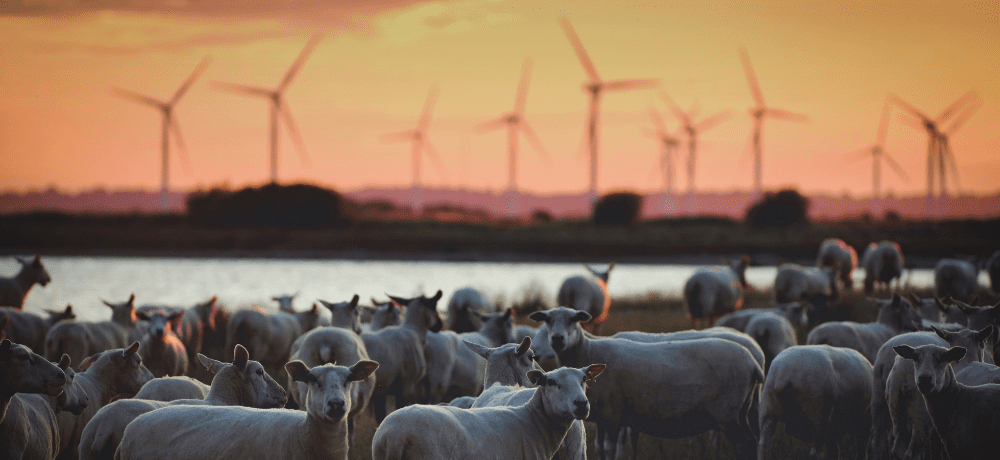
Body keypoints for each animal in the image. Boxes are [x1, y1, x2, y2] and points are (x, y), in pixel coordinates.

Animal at [361, 291, 443, 423]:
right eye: (433, 305)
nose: (439, 325)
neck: (414, 330)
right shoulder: (405, 386)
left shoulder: (381, 390)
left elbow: (381, 416)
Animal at [531, 307, 764, 460]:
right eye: (548, 320)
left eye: (574, 319)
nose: (557, 339)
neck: (588, 351)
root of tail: (753, 361)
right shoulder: (601, 417)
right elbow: (599, 447)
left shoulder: (613, 414)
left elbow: (610, 448)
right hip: (741, 410)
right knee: (752, 442)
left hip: (727, 413)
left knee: (743, 445)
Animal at [885, 325, 993, 460]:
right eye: (984, 343)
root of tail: (901, 372)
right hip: (921, 418)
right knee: (911, 453)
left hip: (896, 411)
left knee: (897, 449)